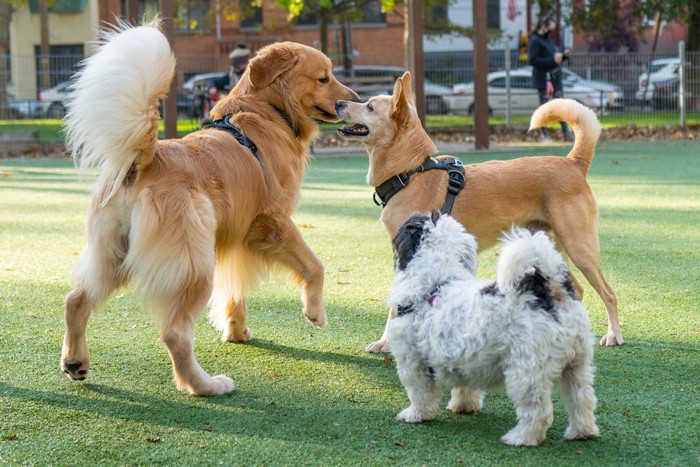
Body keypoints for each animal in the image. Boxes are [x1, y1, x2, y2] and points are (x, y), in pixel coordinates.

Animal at [58, 21, 356, 394]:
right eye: (324, 78)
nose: (353, 100)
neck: (267, 111)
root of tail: (146, 159)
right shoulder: (273, 222)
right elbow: (315, 265)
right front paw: (315, 312)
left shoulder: (235, 238)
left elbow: (235, 292)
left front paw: (236, 331)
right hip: (194, 267)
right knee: (174, 334)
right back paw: (206, 385)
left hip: (113, 256)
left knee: (75, 300)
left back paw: (75, 362)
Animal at [336, 72, 620, 352]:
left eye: (369, 106)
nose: (339, 102)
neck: (411, 172)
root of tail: (573, 162)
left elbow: (397, 306)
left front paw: (387, 342)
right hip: (553, 248)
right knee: (577, 290)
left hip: (579, 247)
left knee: (608, 293)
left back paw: (612, 335)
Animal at [386, 212, 600, 446]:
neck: (437, 283)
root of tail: (547, 287)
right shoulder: (462, 358)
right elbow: (465, 386)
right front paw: (464, 406)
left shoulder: (412, 360)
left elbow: (420, 393)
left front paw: (416, 414)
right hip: (577, 364)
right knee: (582, 399)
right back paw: (582, 432)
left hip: (526, 372)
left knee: (538, 410)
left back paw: (521, 437)